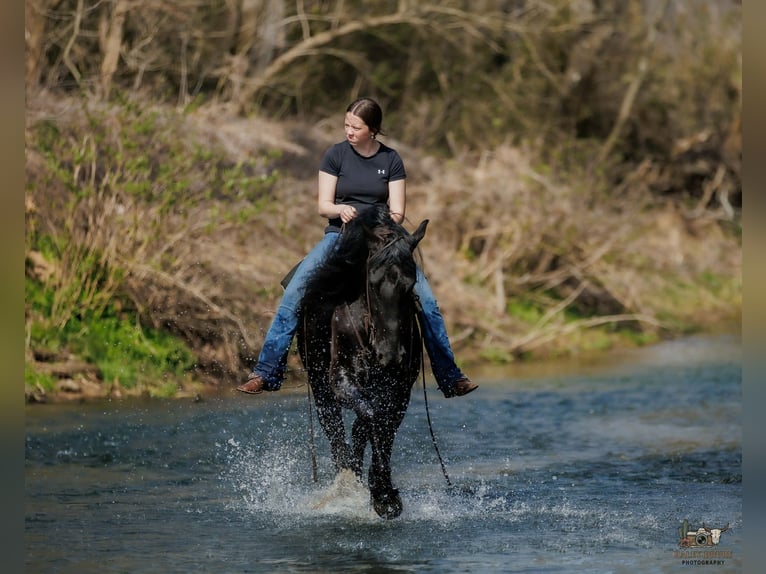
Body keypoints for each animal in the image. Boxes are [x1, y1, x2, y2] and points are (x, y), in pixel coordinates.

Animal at [297, 206, 428, 519]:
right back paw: (346, 480)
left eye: (411, 284)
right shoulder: (341, 381)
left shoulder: (399, 390)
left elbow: (382, 423)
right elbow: (371, 417)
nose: (390, 356)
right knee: (333, 427)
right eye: (372, 282)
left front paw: (383, 491)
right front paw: (381, 492)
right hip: (320, 387)